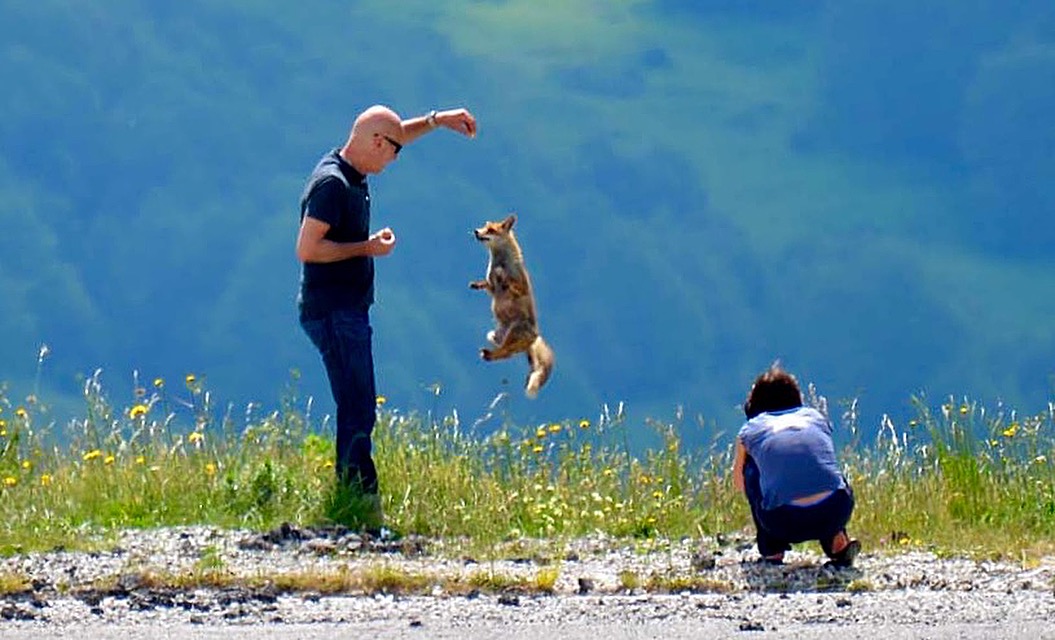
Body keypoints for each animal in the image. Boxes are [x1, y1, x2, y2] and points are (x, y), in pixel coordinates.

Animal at [470, 213, 555, 398]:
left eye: (491, 230)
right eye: (484, 227)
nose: (476, 231)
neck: (500, 261)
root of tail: (535, 336)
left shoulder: (522, 287)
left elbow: (513, 284)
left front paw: (503, 276)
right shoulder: (492, 289)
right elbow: (487, 284)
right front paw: (477, 284)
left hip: (513, 330)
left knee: (506, 352)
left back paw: (488, 354)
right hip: (494, 335)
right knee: (505, 353)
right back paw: (489, 354)